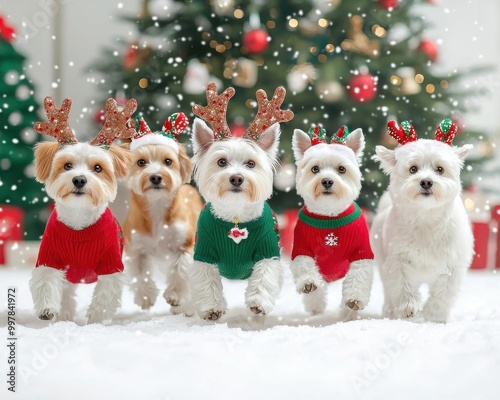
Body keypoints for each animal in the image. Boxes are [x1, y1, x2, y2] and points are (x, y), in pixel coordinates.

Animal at [29, 95, 135, 324]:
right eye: (67, 165)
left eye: (98, 168)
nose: (79, 179)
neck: (79, 223)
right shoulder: (49, 256)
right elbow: (47, 281)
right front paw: (48, 309)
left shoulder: (111, 264)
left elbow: (104, 296)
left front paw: (95, 321)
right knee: (67, 293)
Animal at [122, 112, 201, 316]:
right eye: (141, 162)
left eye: (168, 161)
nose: (156, 177)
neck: (157, 208)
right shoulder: (135, 247)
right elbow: (140, 273)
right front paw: (145, 297)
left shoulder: (185, 244)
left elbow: (180, 270)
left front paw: (175, 296)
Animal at [189, 83, 294, 320]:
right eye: (221, 162)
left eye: (251, 164)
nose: (236, 178)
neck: (235, 217)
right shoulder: (204, 251)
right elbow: (206, 280)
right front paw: (212, 307)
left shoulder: (268, 249)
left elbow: (265, 274)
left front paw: (258, 302)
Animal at [290, 125, 376, 316]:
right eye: (315, 169)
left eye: (342, 169)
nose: (327, 181)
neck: (329, 216)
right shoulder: (301, 247)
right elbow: (304, 265)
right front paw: (308, 282)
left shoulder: (361, 252)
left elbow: (358, 276)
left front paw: (354, 299)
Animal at [372, 119, 472, 322]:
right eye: (413, 169)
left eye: (440, 169)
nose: (426, 181)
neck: (426, 218)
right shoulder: (397, 260)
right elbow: (401, 285)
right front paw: (409, 308)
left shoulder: (453, 264)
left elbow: (443, 293)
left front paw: (434, 315)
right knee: (388, 290)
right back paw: (390, 311)